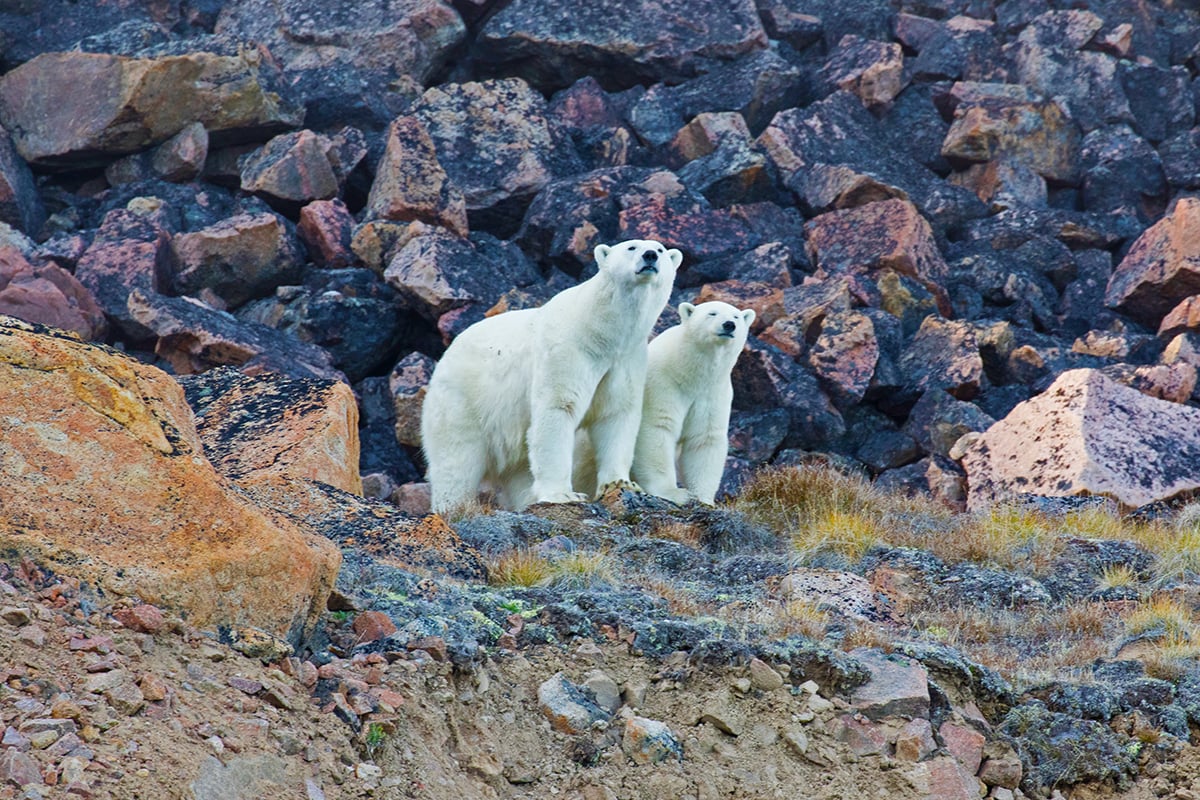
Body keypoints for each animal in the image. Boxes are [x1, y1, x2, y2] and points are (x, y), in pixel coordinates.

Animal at [424, 237, 686, 513]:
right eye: (631, 247)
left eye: (660, 249)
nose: (650, 256)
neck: (601, 331)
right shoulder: (567, 350)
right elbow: (558, 408)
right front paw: (563, 494)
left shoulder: (626, 359)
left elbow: (616, 413)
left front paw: (621, 484)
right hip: (463, 400)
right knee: (456, 458)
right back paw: (454, 508)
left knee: (519, 470)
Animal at [633, 303, 753, 503]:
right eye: (712, 313)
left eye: (736, 316)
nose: (729, 325)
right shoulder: (662, 383)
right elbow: (658, 428)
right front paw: (674, 493)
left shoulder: (713, 394)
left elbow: (704, 438)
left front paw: (703, 498)